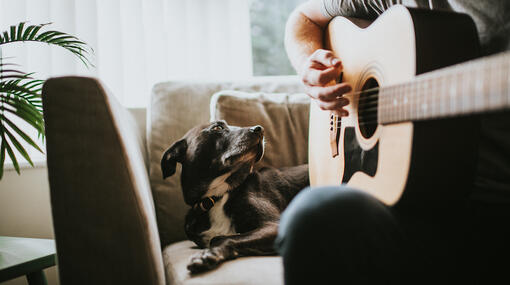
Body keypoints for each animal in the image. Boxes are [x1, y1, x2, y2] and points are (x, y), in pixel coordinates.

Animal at [161, 120, 308, 272]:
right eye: (217, 127)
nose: (260, 129)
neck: (217, 197)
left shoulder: (274, 226)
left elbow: (220, 238)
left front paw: (208, 254)